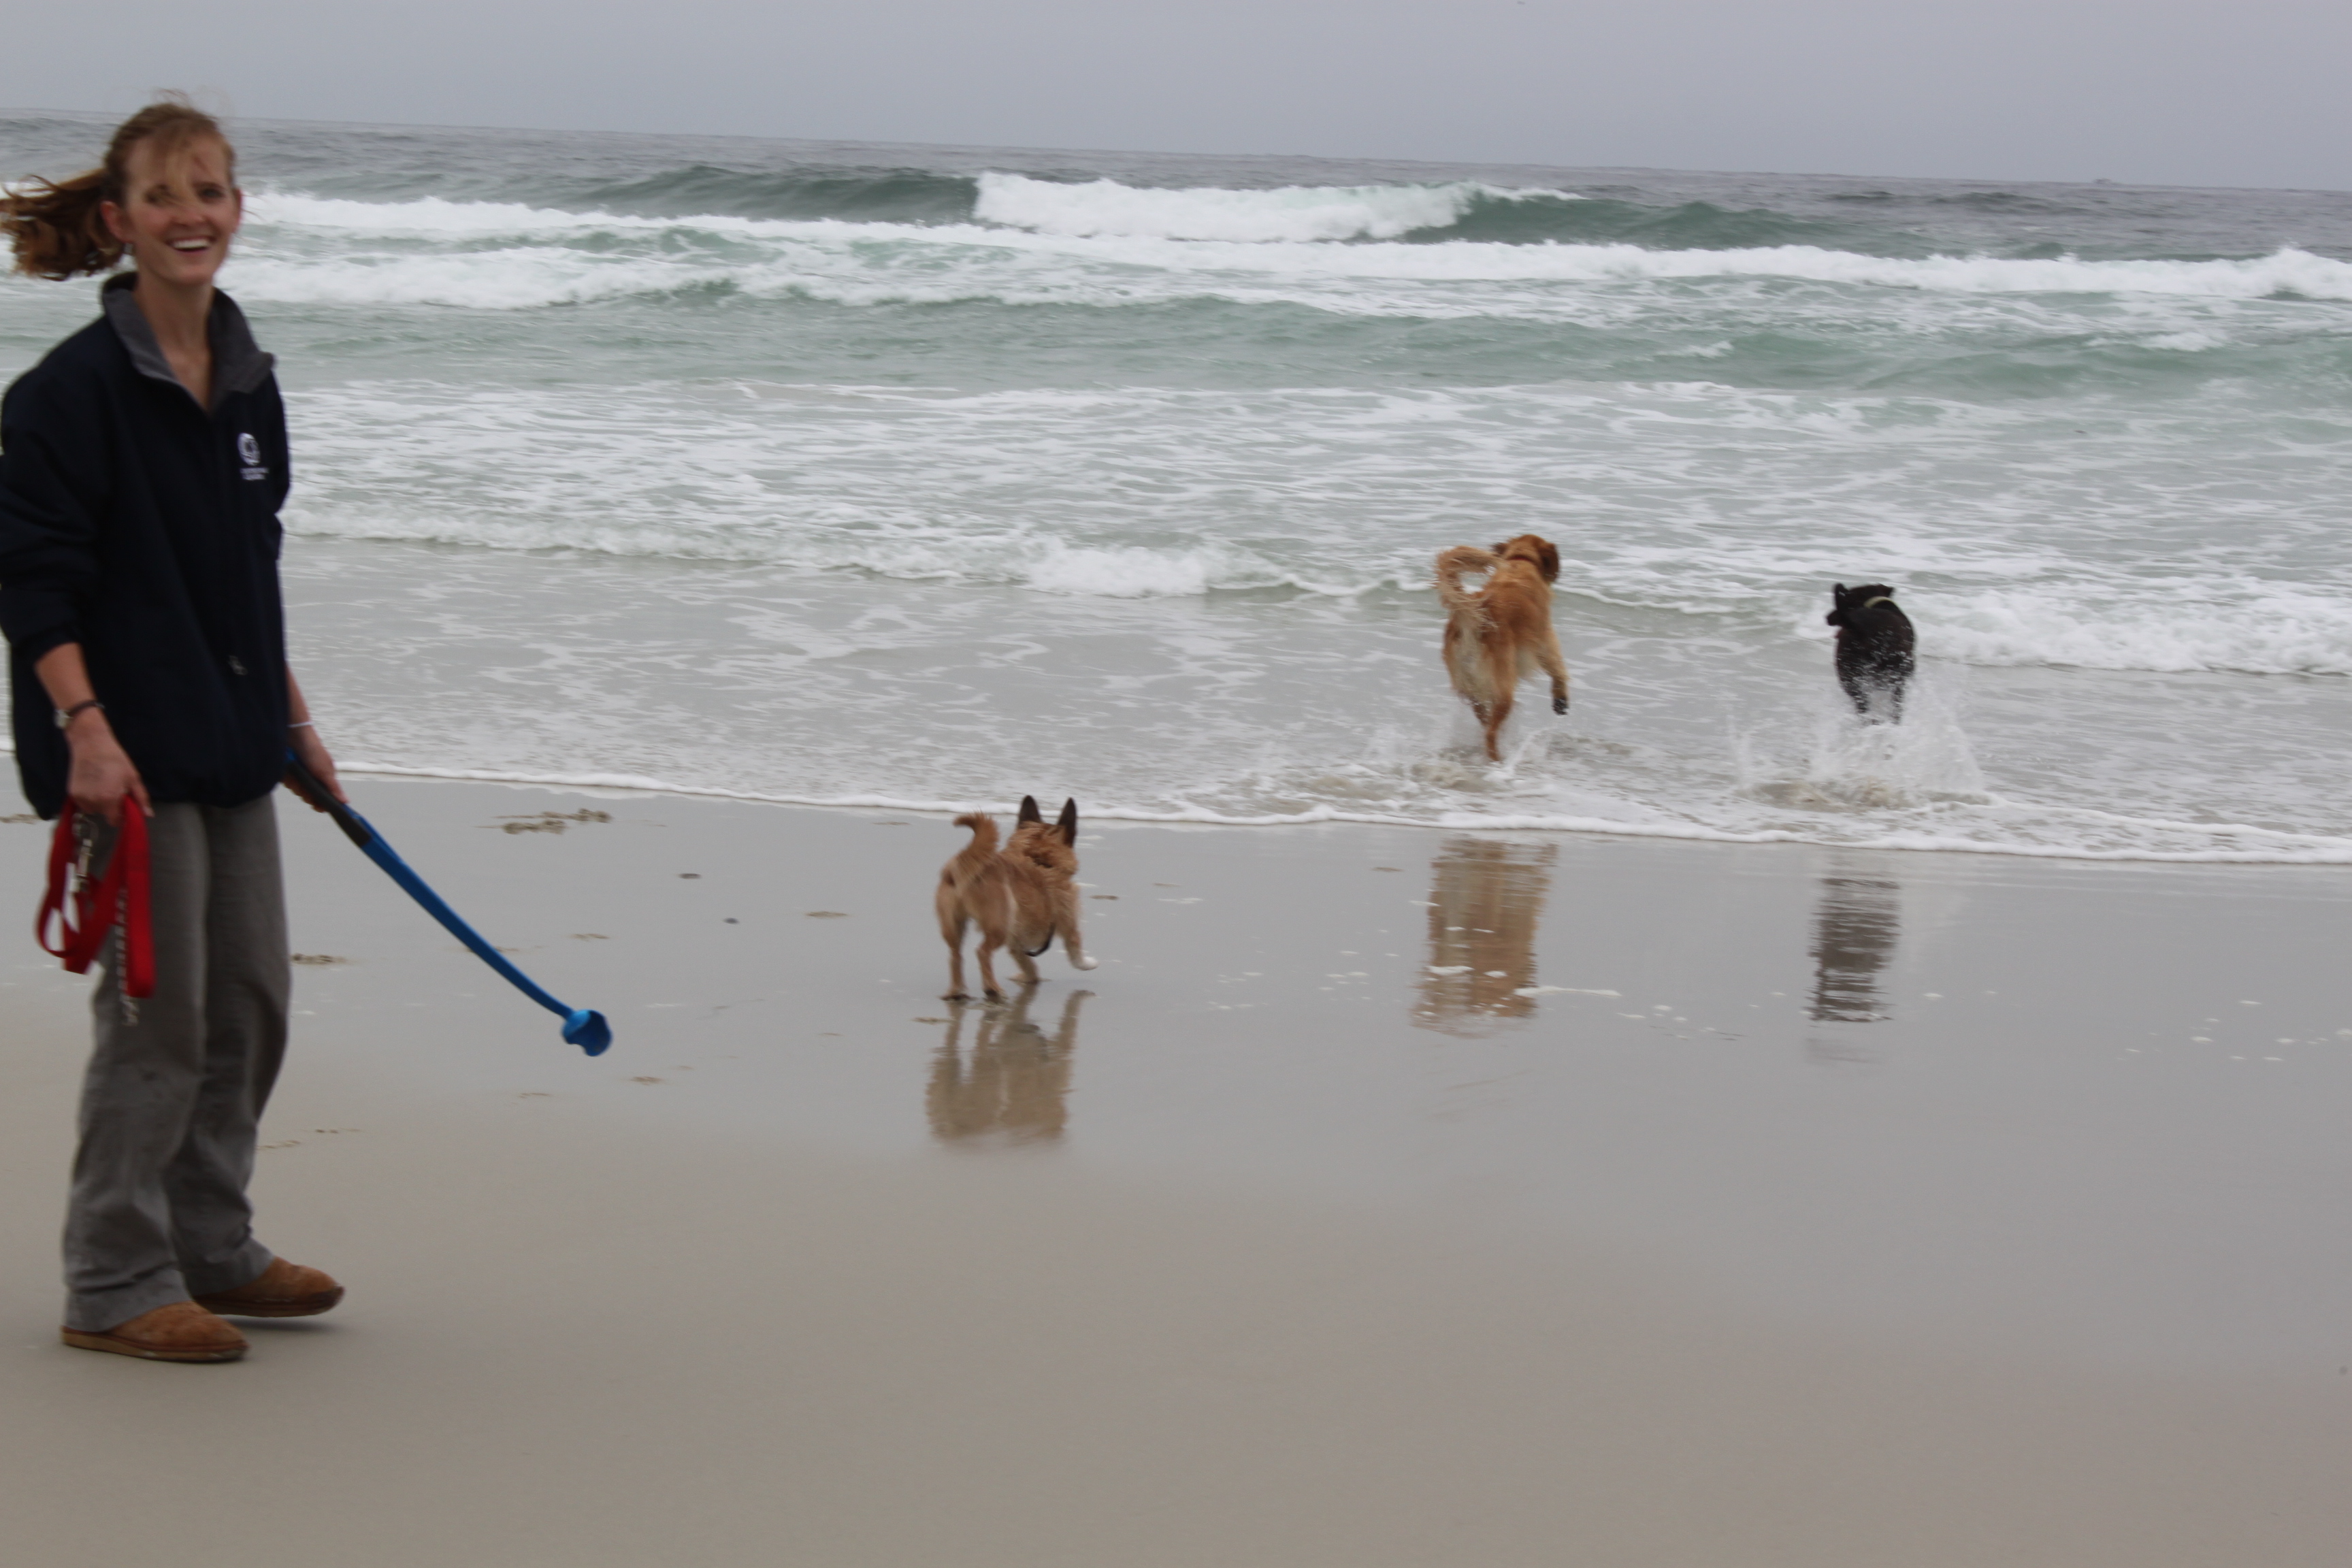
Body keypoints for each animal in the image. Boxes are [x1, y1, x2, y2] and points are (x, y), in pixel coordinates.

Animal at [937, 795, 1098, 1002]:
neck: (1039, 860)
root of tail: (965, 860)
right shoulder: (1069, 922)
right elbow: (1076, 951)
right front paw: (1088, 963)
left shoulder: (1016, 942)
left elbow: (1027, 963)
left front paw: (1029, 977)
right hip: (998, 926)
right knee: (982, 952)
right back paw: (992, 989)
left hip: (954, 925)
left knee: (955, 954)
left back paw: (957, 991)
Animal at [1436, 534, 1571, 761]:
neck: (1522, 560)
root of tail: (1474, 620)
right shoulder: (1545, 640)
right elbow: (1559, 670)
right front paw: (1561, 699)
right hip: (1504, 690)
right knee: (1490, 733)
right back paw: (1498, 760)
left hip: (1472, 689)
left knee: (1485, 722)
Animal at [1826, 583, 1916, 721]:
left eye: (1846, 600)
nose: (1828, 618)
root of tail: (1862, 630)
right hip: (1896, 672)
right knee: (1895, 704)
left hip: (1847, 675)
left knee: (1861, 701)